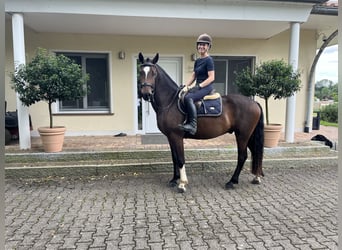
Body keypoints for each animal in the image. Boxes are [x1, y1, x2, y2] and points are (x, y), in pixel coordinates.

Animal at [138, 52, 264, 193]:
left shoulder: (177, 136)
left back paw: (232, 181)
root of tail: (254, 103)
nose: (146, 93)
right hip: (249, 135)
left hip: (242, 135)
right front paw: (174, 179)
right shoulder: (170, 137)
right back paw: (256, 177)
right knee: (256, 152)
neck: (170, 102)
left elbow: (180, 159)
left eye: (154, 73)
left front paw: (182, 183)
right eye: (141, 72)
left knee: (242, 156)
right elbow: (174, 158)